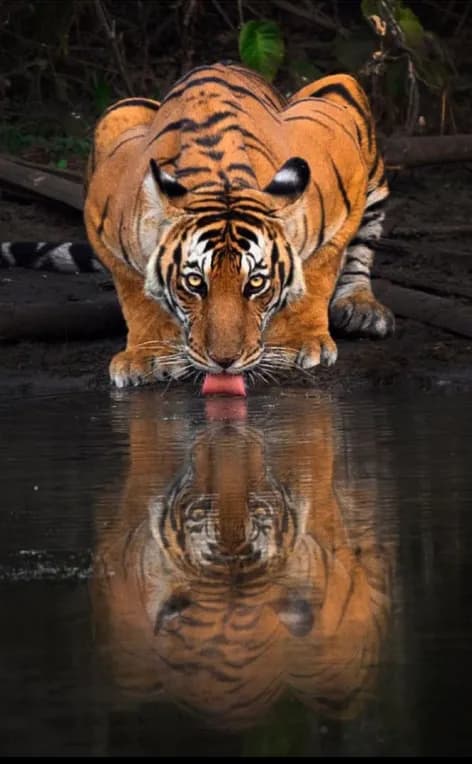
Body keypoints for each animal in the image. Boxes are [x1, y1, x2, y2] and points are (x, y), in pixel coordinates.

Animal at [84, 62, 394, 387]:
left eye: (256, 282)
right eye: (194, 282)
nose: (224, 361)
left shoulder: (344, 180)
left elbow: (316, 273)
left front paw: (298, 341)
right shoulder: (101, 217)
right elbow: (137, 295)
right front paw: (146, 356)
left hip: (340, 90)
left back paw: (361, 308)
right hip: (120, 111)